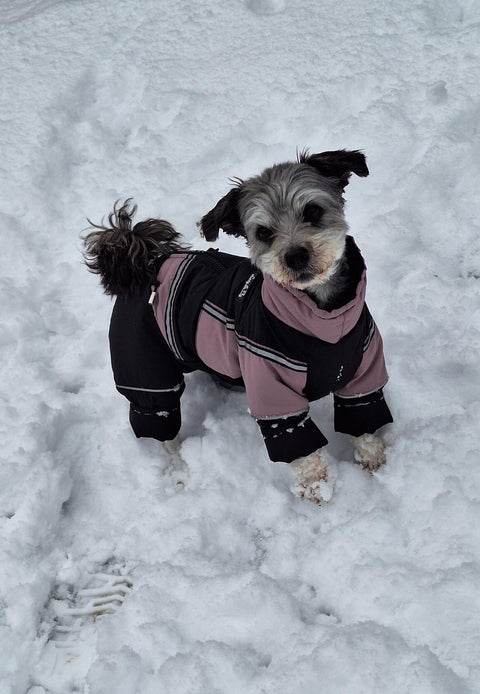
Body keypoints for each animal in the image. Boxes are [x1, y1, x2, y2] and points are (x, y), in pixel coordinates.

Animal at [83, 150, 394, 502]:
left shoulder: (364, 374)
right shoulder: (273, 391)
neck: (324, 318)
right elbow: (302, 450)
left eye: (313, 210)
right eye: (263, 233)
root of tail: (143, 263)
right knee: (161, 423)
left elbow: (363, 419)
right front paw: (317, 488)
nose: (295, 256)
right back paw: (179, 469)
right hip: (145, 370)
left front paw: (374, 458)